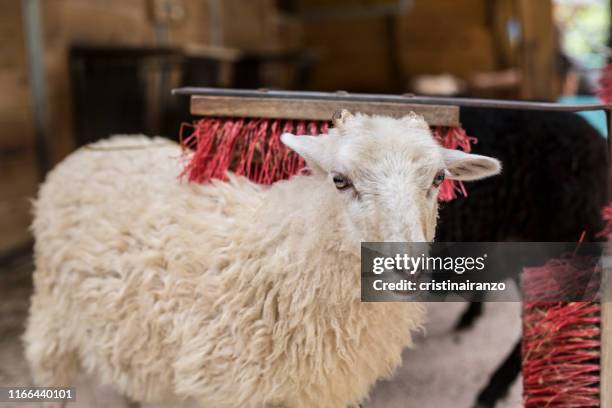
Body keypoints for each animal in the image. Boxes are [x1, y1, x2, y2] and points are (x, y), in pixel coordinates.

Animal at [25, 110, 502, 406]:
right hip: (53, 319)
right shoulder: (226, 389)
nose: (406, 269)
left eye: (438, 178)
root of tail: (100, 145)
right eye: (340, 180)